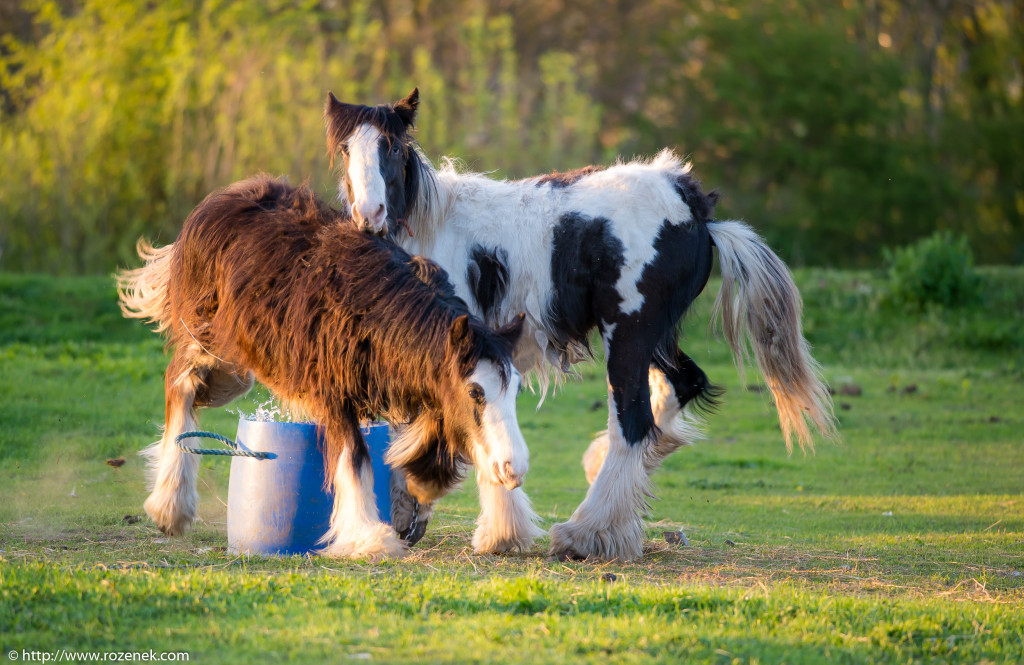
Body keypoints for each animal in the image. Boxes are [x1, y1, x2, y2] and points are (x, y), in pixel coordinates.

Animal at [117, 176, 536, 561]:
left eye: (515, 390)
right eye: (475, 392)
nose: (514, 469)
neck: (377, 315)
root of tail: (216, 201)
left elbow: (452, 440)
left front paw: (500, 527)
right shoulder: (333, 393)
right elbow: (355, 457)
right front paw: (369, 537)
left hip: (233, 370)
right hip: (212, 347)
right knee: (180, 384)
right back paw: (170, 506)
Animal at [323, 89, 835, 561]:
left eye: (391, 146)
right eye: (346, 148)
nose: (369, 216)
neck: (435, 230)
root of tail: (694, 207)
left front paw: (494, 528)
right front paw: (414, 510)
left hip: (628, 334)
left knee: (634, 421)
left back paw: (587, 533)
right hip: (655, 339)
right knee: (680, 389)